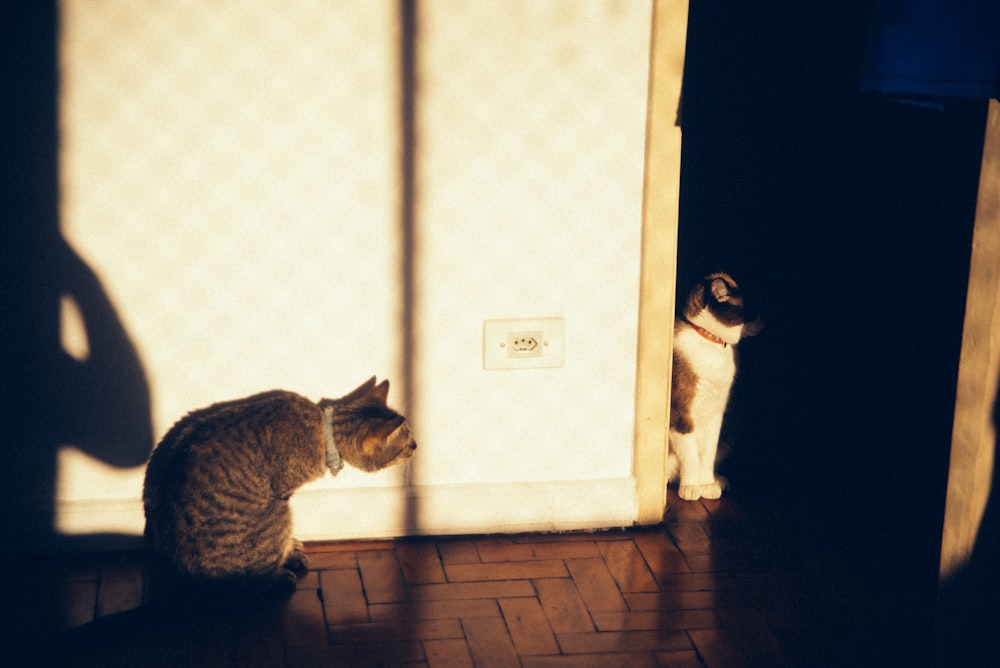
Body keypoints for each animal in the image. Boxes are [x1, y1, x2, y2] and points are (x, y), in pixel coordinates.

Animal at [142, 376, 414, 596]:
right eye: (409, 445)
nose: (418, 446)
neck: (324, 431)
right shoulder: (283, 493)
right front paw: (289, 551)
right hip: (277, 513)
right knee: (249, 583)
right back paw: (281, 576)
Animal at [668, 272, 760, 500]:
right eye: (752, 311)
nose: (765, 320)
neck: (713, 343)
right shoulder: (681, 414)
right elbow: (691, 455)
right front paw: (692, 487)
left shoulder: (715, 414)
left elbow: (707, 455)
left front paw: (706, 484)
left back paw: (718, 481)